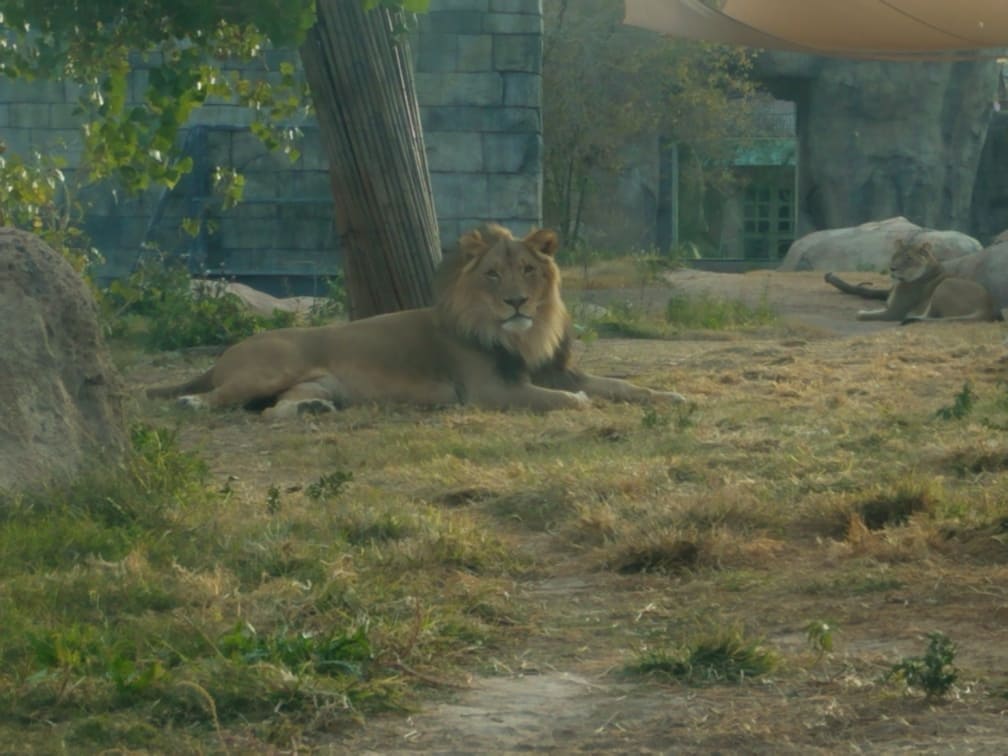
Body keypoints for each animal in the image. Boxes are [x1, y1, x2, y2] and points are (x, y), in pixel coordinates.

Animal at [147, 224, 686, 418]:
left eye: (529, 271)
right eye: (493, 274)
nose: (516, 302)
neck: (526, 335)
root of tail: (228, 352)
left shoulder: (558, 370)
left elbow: (623, 384)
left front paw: (673, 396)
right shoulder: (489, 391)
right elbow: (557, 399)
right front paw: (578, 403)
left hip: (315, 385)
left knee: (271, 410)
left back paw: (312, 410)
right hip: (269, 368)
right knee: (223, 396)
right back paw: (194, 401)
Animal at [824, 240, 1000, 323]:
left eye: (908, 258)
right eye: (895, 255)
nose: (892, 268)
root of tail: (988, 307)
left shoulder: (895, 312)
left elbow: (862, 316)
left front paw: (862, 313)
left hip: (945, 285)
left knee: (930, 317)